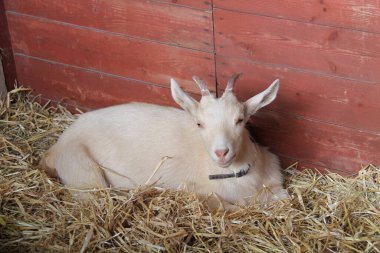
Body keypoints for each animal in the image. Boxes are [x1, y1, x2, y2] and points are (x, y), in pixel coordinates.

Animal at [40, 74, 288, 210]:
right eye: (199, 123)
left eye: (240, 120)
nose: (221, 153)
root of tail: (55, 148)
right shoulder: (194, 190)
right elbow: (226, 207)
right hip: (84, 174)